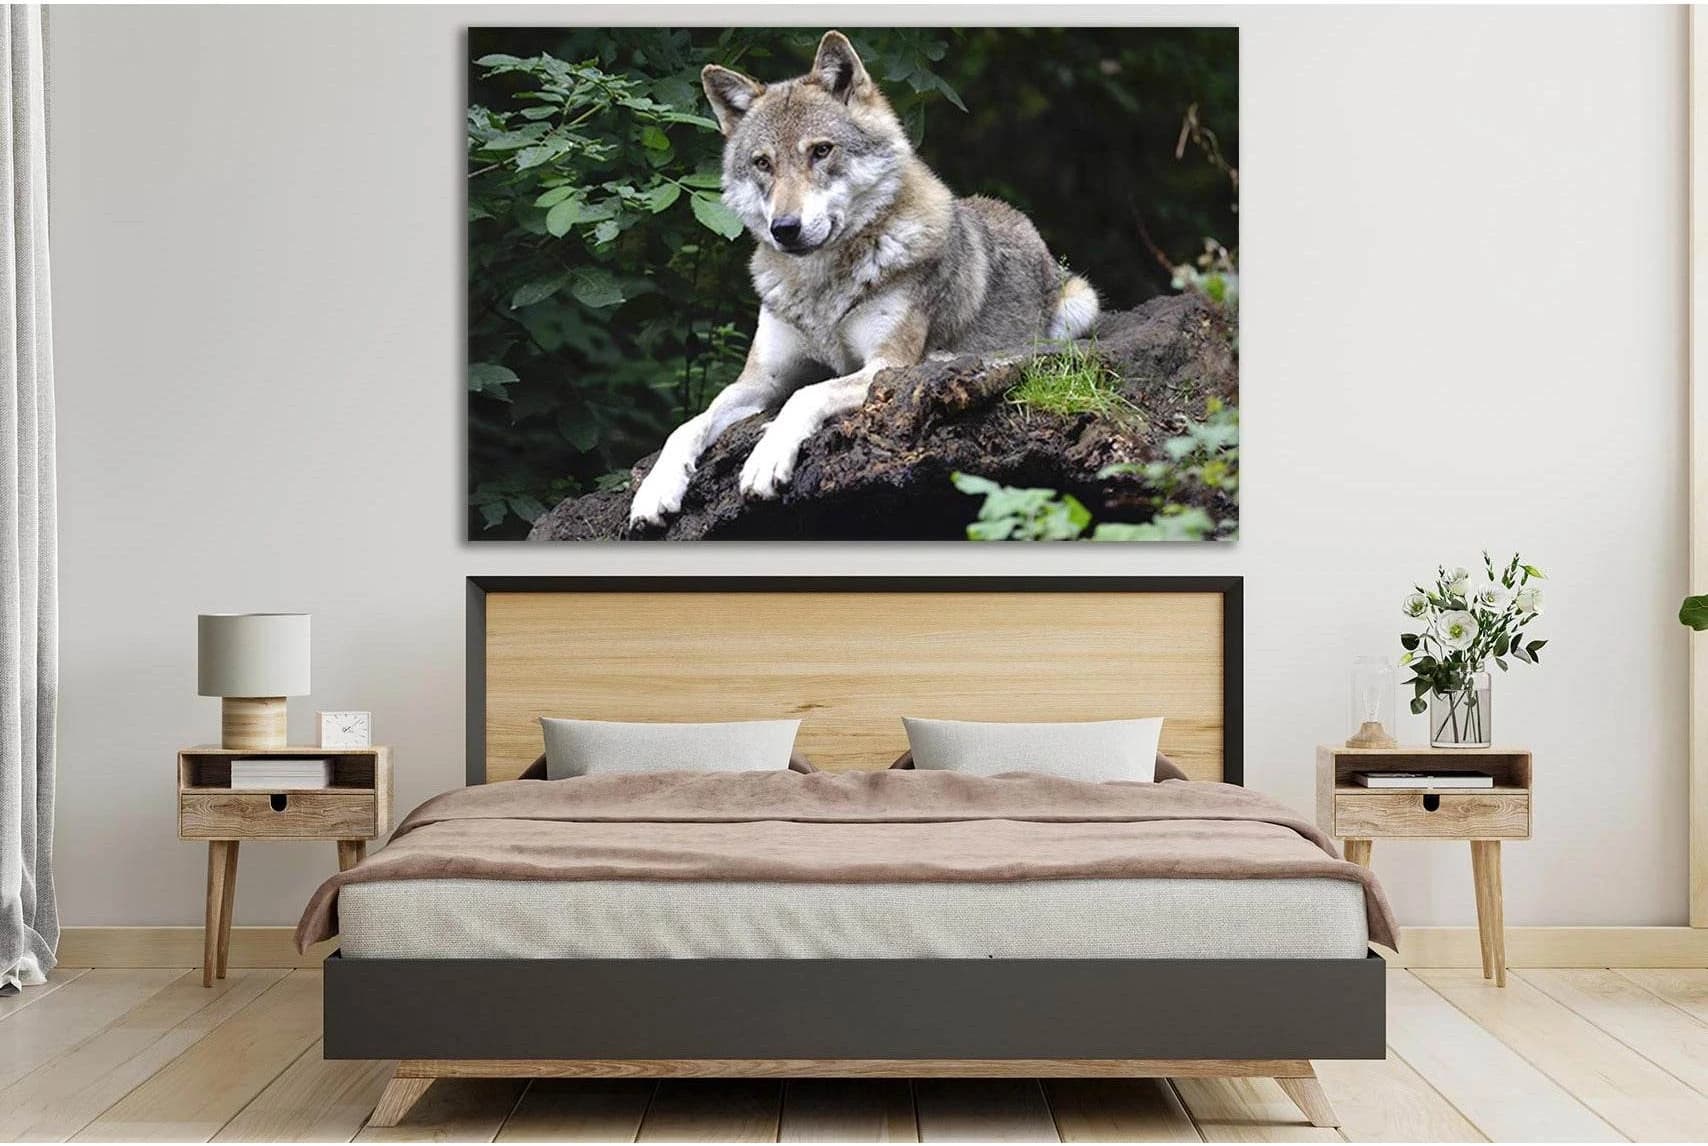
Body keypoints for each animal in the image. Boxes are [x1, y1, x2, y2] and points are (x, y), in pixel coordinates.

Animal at [627, 31, 1101, 528]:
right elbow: (688, 425)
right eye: (762, 163)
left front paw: (765, 459)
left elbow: (806, 395)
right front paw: (655, 489)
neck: (821, 287)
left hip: (1079, 304)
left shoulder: (883, 365)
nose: (784, 228)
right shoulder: (759, 381)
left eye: (821, 150)